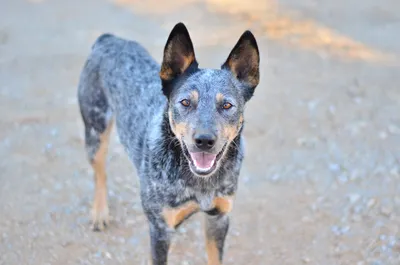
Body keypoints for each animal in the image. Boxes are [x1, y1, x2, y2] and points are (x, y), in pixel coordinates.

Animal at [77, 21, 260, 262]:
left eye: (227, 105)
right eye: (185, 102)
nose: (204, 140)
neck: (200, 183)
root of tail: (109, 39)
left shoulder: (219, 218)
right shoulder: (160, 230)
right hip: (95, 131)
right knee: (100, 173)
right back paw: (99, 213)